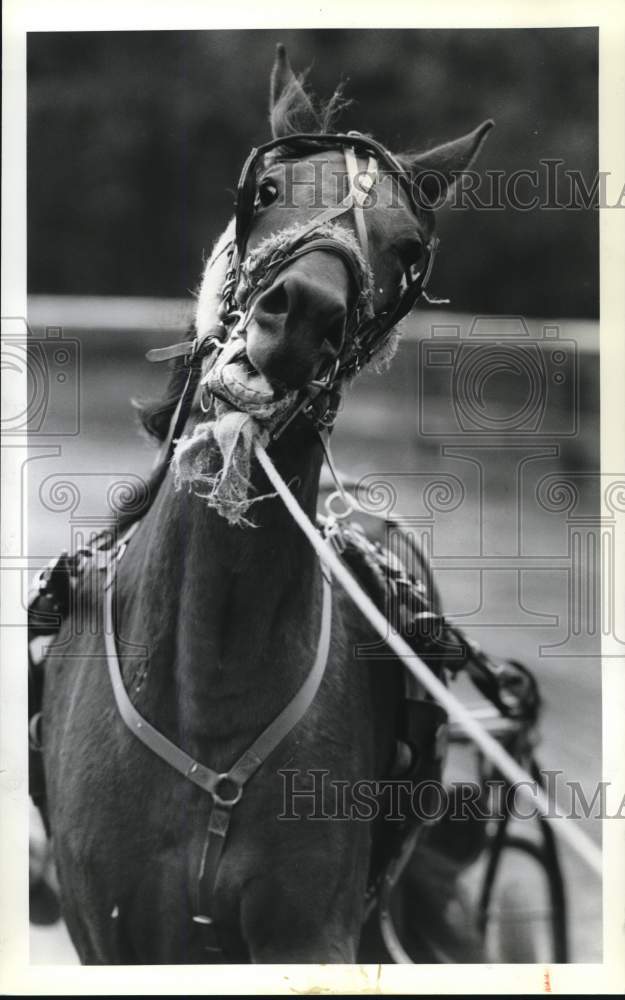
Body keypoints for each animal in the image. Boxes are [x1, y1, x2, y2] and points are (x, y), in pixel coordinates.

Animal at [38, 45, 492, 963]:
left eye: (405, 246)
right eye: (268, 190)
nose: (305, 312)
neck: (206, 691)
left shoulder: (310, 929)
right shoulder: (107, 927)